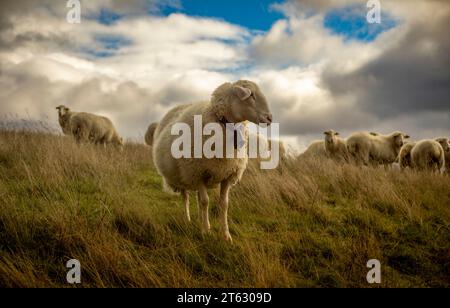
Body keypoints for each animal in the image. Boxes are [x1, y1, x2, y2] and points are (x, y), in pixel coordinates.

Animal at [151, 80, 272, 242]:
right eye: (251, 95)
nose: (270, 118)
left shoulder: (228, 175)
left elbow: (224, 204)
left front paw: (225, 235)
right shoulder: (197, 173)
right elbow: (205, 202)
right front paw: (205, 232)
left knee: (197, 199)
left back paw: (200, 220)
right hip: (183, 176)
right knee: (186, 198)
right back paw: (188, 219)